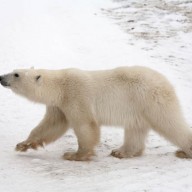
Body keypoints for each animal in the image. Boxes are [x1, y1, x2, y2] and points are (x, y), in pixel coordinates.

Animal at [0, 66, 192, 160]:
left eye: (16, 74)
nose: (1, 77)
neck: (60, 86)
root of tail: (166, 82)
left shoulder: (76, 95)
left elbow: (85, 125)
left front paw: (75, 155)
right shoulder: (59, 105)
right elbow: (51, 125)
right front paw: (23, 144)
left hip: (150, 99)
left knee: (170, 122)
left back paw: (185, 152)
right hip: (137, 107)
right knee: (135, 129)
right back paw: (121, 152)